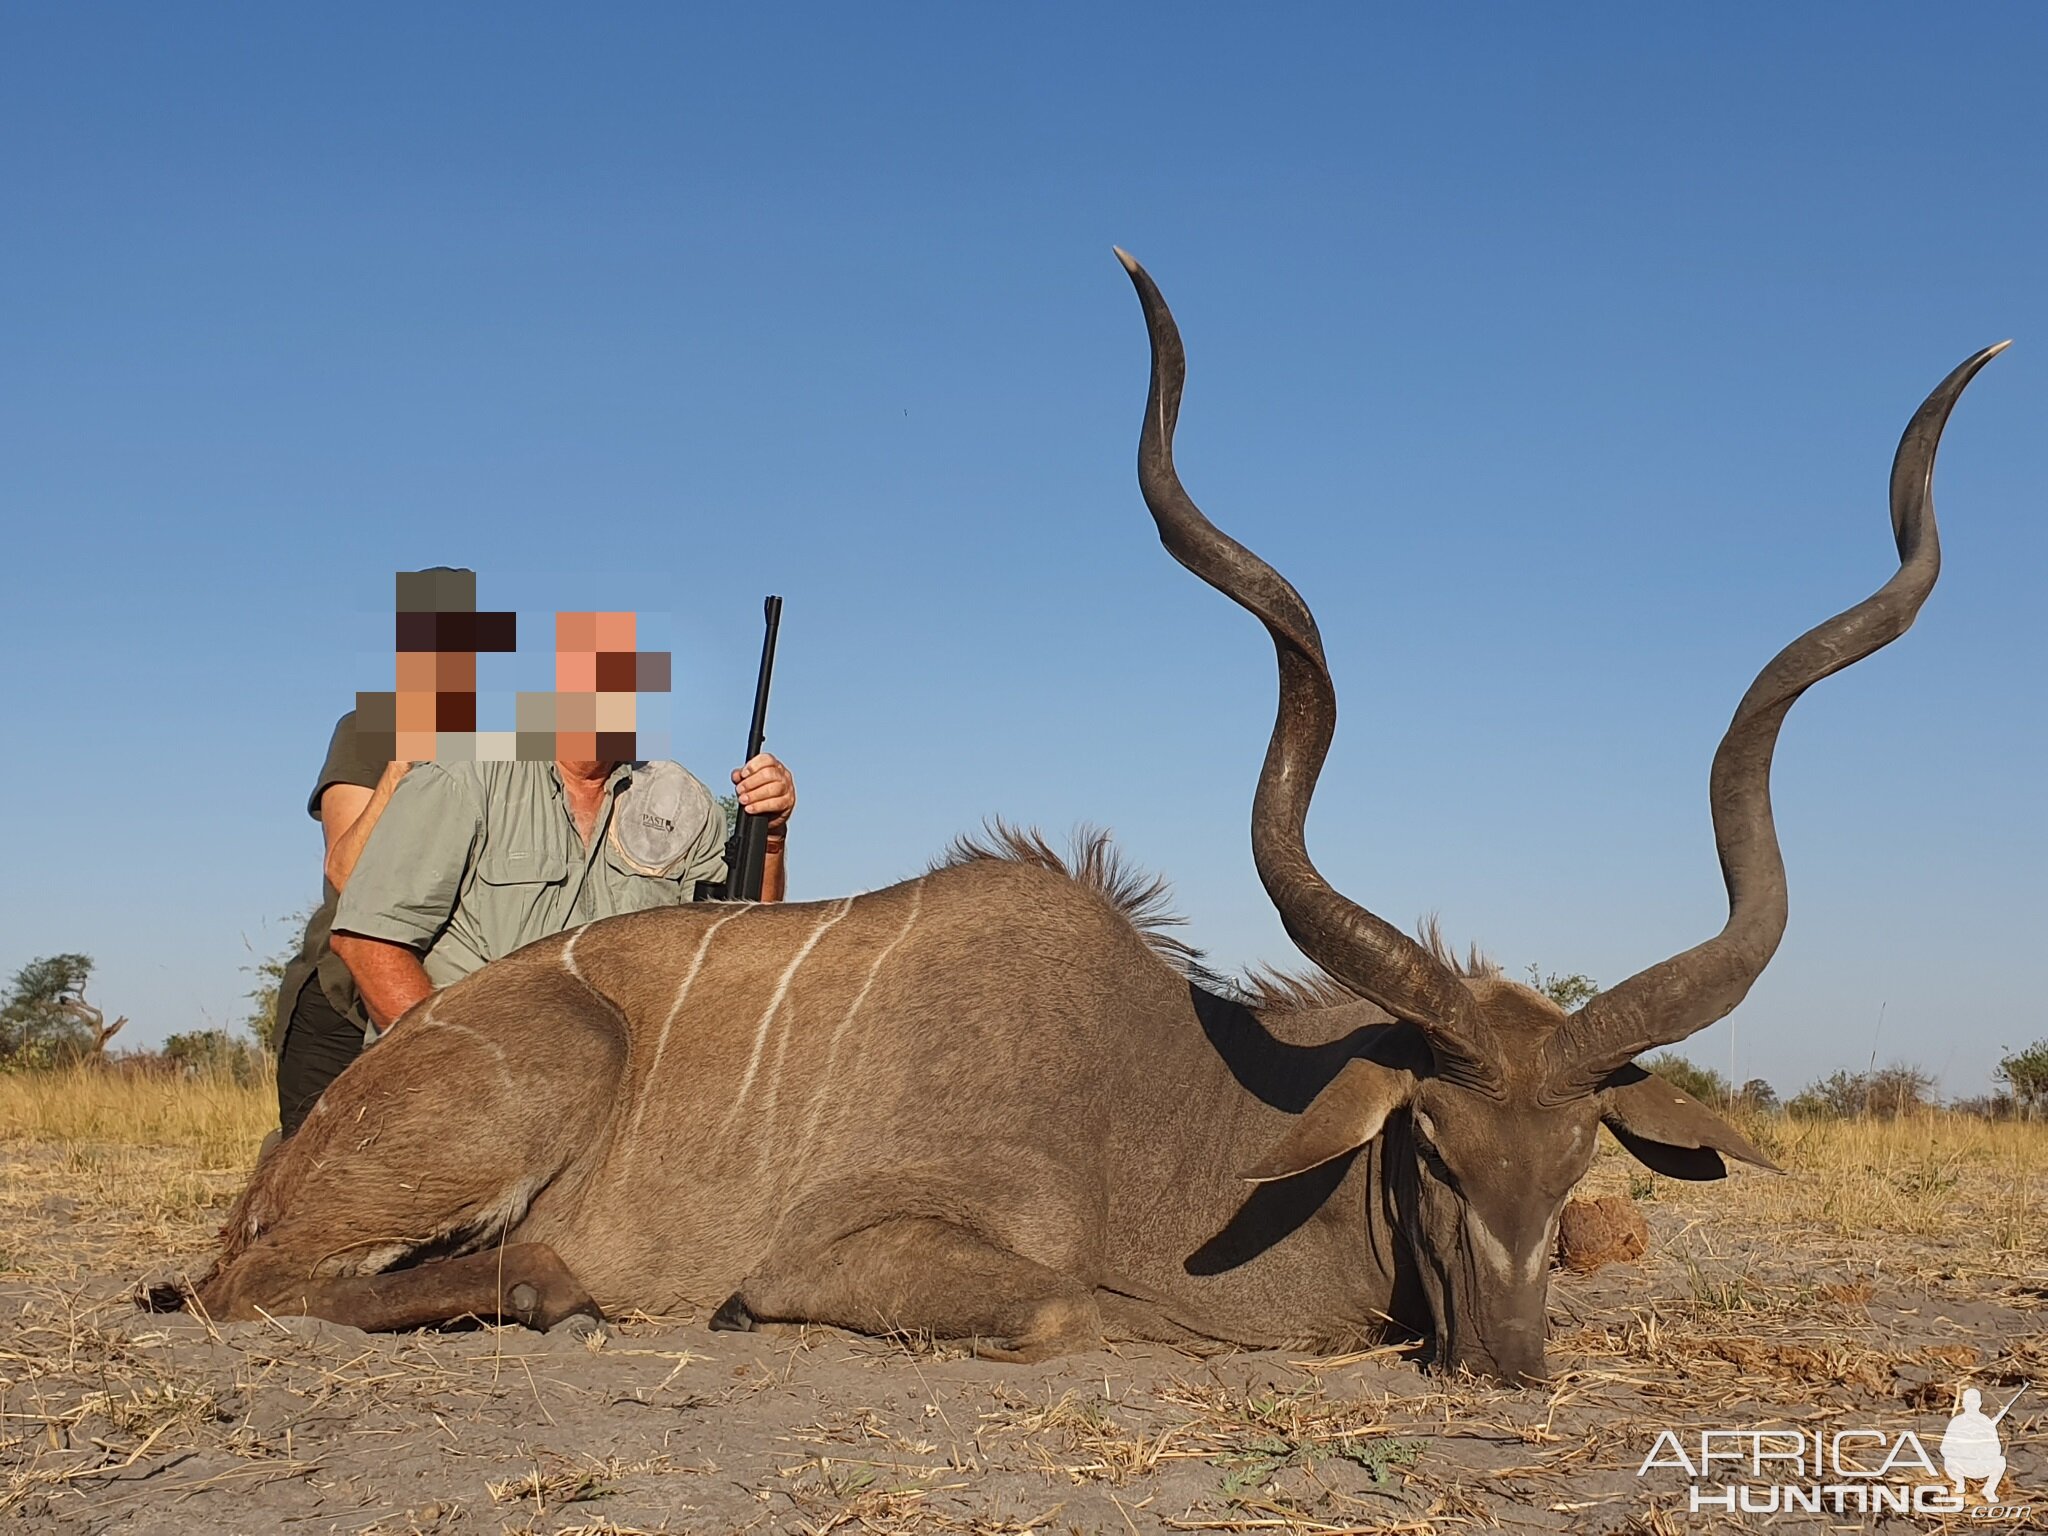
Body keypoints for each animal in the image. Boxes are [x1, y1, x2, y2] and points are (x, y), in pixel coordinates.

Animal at [192, 259, 1998, 1392]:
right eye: (1424, 1140)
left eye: (1573, 1162)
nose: (1506, 1363)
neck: (1164, 1105)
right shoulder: (844, 1257)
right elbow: (1066, 1311)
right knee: (254, 1292)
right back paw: (540, 1295)